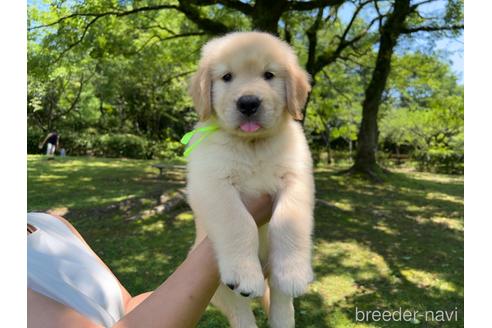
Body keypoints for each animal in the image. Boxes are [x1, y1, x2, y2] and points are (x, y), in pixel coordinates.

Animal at [185, 31, 316, 328]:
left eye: (269, 75)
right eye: (227, 77)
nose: (248, 103)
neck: (252, 144)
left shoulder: (297, 178)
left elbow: (288, 221)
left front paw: (294, 272)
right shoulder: (212, 182)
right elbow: (239, 222)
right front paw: (244, 273)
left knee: (279, 296)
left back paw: (282, 314)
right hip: (216, 284)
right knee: (239, 309)